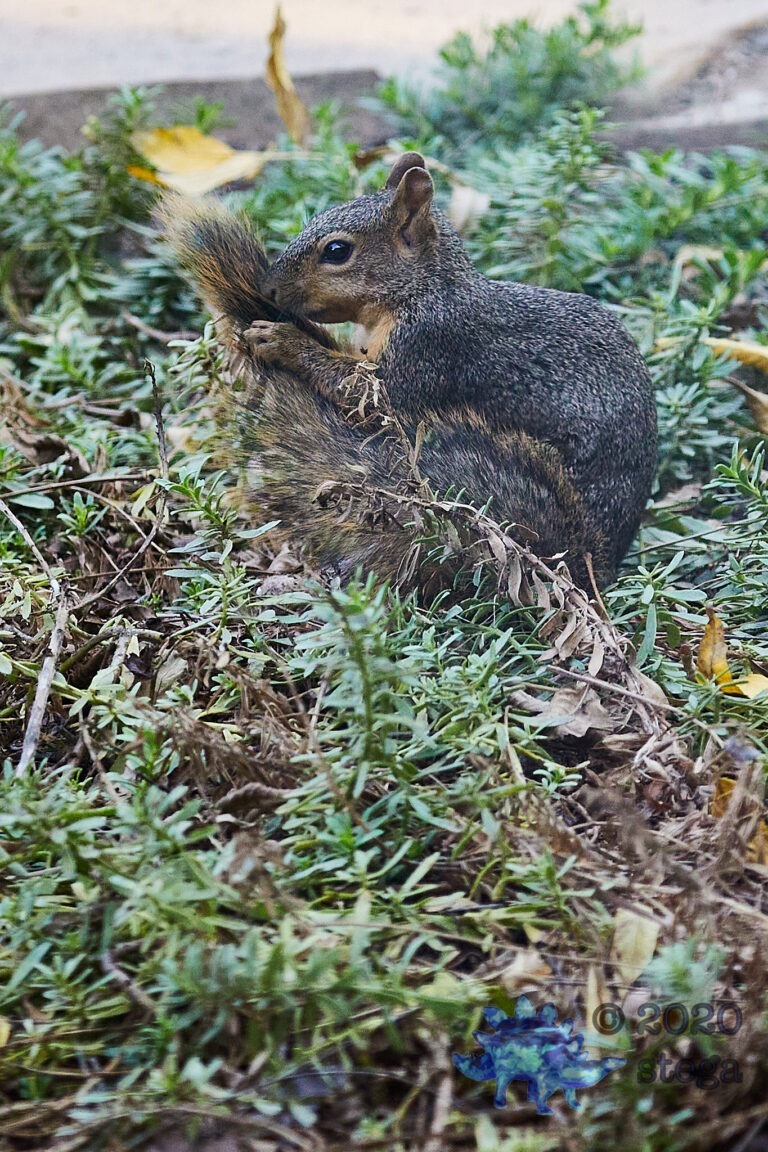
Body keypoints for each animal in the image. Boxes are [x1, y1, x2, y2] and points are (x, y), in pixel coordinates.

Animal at [162, 152, 657, 593]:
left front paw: (283, 340)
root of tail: (596, 555)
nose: (267, 288)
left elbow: (371, 397)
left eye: (337, 251)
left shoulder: (426, 345)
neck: (419, 291)